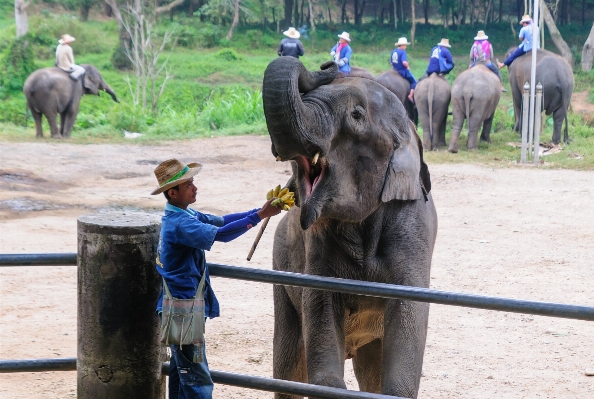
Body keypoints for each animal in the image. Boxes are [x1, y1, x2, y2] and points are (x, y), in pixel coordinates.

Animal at [262, 57, 438, 399]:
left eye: (356, 115)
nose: (327, 64)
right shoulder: (314, 243)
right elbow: (321, 307)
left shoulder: (415, 232)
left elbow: (408, 314)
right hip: (280, 265)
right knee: (288, 364)